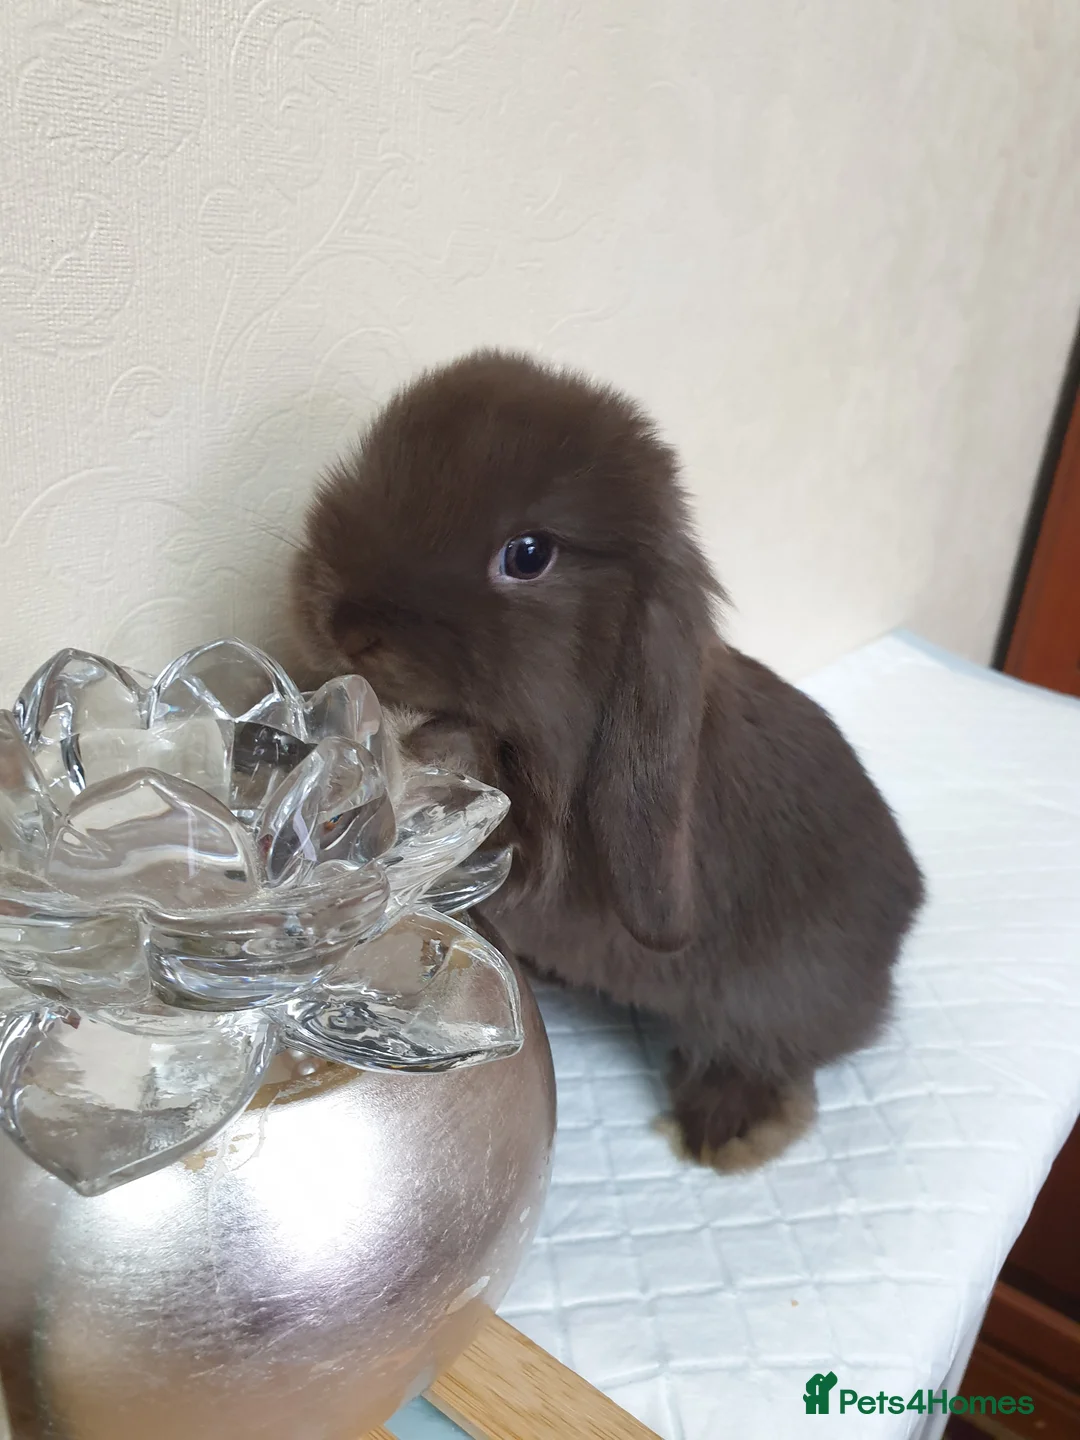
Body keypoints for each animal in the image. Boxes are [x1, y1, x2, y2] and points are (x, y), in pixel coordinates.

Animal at [290, 349, 925, 1172]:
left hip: (773, 997)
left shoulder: (533, 832)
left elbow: (465, 775)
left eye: (529, 555)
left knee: (768, 1057)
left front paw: (388, 749)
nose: (346, 623)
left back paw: (724, 1128)